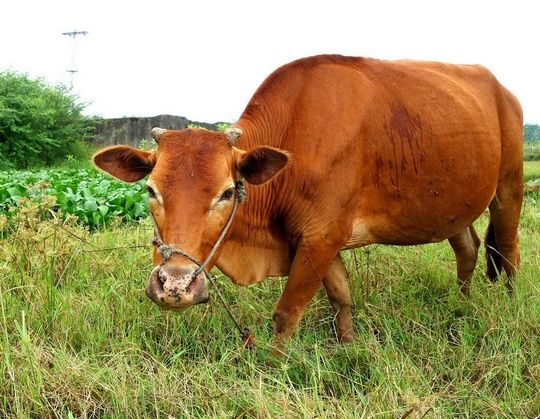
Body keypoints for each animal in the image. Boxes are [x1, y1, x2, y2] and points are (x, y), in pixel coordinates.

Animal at [94, 55, 524, 352]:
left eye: (227, 192)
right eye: (151, 190)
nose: (175, 285)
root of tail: (504, 91)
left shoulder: (320, 237)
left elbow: (286, 314)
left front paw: (271, 368)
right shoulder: (318, 241)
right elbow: (341, 300)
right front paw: (348, 348)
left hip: (509, 188)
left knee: (509, 253)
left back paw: (510, 304)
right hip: (454, 208)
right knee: (468, 249)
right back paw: (460, 306)